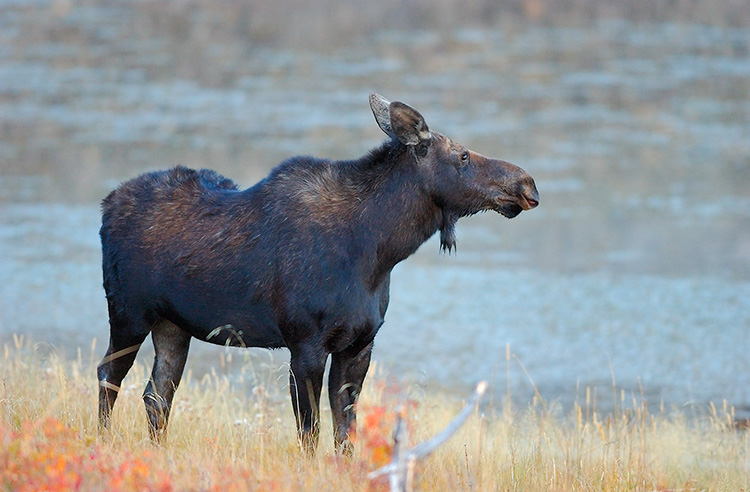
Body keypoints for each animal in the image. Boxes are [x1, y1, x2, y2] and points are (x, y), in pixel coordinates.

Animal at [98, 93, 540, 454]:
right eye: (463, 156)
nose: (527, 184)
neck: (378, 251)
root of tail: (106, 204)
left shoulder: (359, 344)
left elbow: (345, 433)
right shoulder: (305, 342)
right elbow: (309, 431)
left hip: (173, 325)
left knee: (157, 394)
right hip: (128, 313)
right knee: (109, 375)